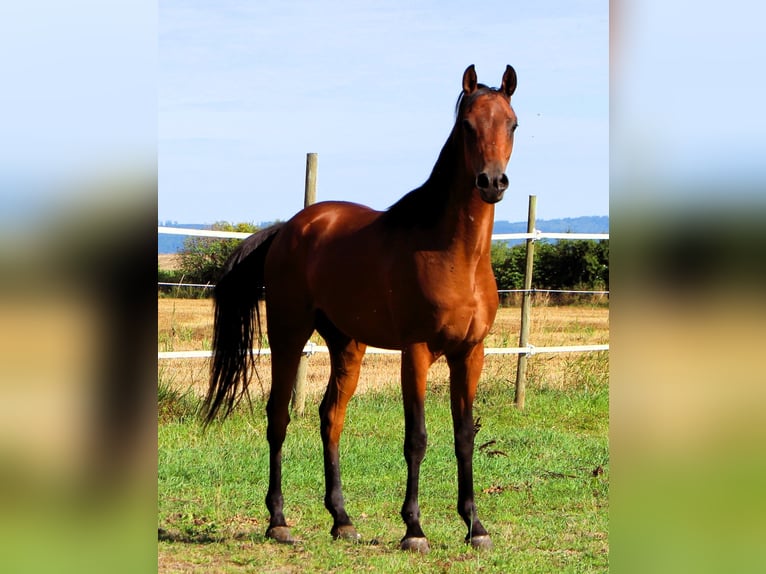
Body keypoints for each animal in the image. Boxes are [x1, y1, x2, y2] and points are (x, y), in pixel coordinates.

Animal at [202, 64, 518, 553]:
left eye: (513, 124)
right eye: (467, 125)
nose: (492, 182)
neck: (454, 256)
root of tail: (289, 228)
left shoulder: (471, 353)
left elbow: (464, 435)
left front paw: (475, 526)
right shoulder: (417, 351)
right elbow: (417, 438)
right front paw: (414, 530)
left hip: (347, 344)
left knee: (331, 417)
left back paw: (342, 520)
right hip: (288, 333)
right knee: (278, 417)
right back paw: (279, 522)